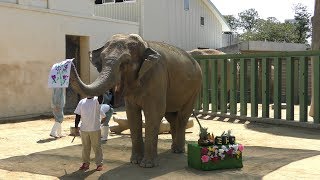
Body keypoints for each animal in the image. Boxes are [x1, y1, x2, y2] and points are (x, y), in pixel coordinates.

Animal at [69, 33, 201, 167]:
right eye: (102, 58)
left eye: (125, 62)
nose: (71, 61)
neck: (146, 44)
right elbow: (132, 115)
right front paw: (135, 161)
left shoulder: (157, 76)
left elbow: (153, 113)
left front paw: (147, 165)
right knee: (171, 116)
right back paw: (174, 149)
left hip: (195, 88)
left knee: (183, 116)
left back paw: (178, 150)